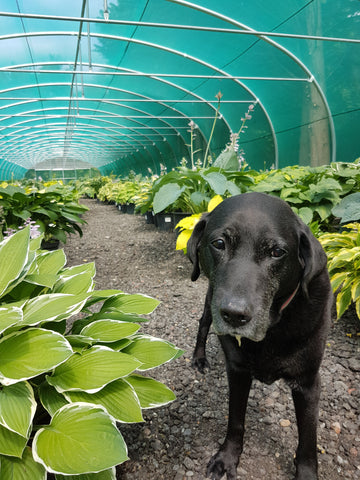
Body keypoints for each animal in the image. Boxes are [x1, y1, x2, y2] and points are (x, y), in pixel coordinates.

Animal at [187, 193, 334, 478]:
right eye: (219, 243)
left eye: (277, 252)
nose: (234, 315)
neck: (272, 328)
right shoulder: (237, 371)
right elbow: (235, 420)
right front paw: (228, 457)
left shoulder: (308, 383)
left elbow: (308, 439)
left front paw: (307, 472)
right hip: (211, 300)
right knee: (202, 324)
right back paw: (199, 358)